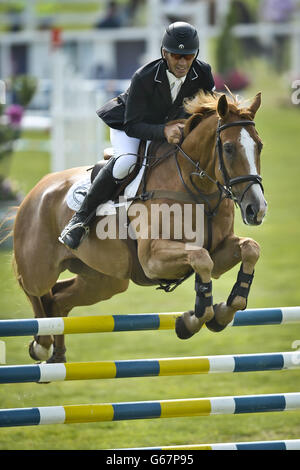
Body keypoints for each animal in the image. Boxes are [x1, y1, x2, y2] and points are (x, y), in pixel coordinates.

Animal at [12, 92, 268, 364]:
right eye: (228, 148)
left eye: (259, 146)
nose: (257, 209)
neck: (198, 190)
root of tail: (36, 190)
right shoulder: (152, 259)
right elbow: (201, 258)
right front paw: (192, 321)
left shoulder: (218, 252)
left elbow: (249, 249)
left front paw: (220, 314)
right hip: (40, 269)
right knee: (32, 288)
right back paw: (42, 344)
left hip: (104, 280)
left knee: (58, 300)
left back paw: (57, 355)